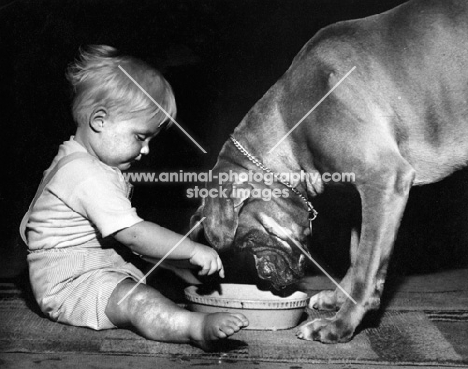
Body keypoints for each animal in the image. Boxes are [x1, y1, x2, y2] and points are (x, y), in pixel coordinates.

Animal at [189, 0, 468, 344]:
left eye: (249, 238)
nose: (267, 279)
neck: (292, 120)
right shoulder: (363, 196)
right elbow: (358, 257)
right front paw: (338, 299)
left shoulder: (385, 181)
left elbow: (365, 269)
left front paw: (340, 325)